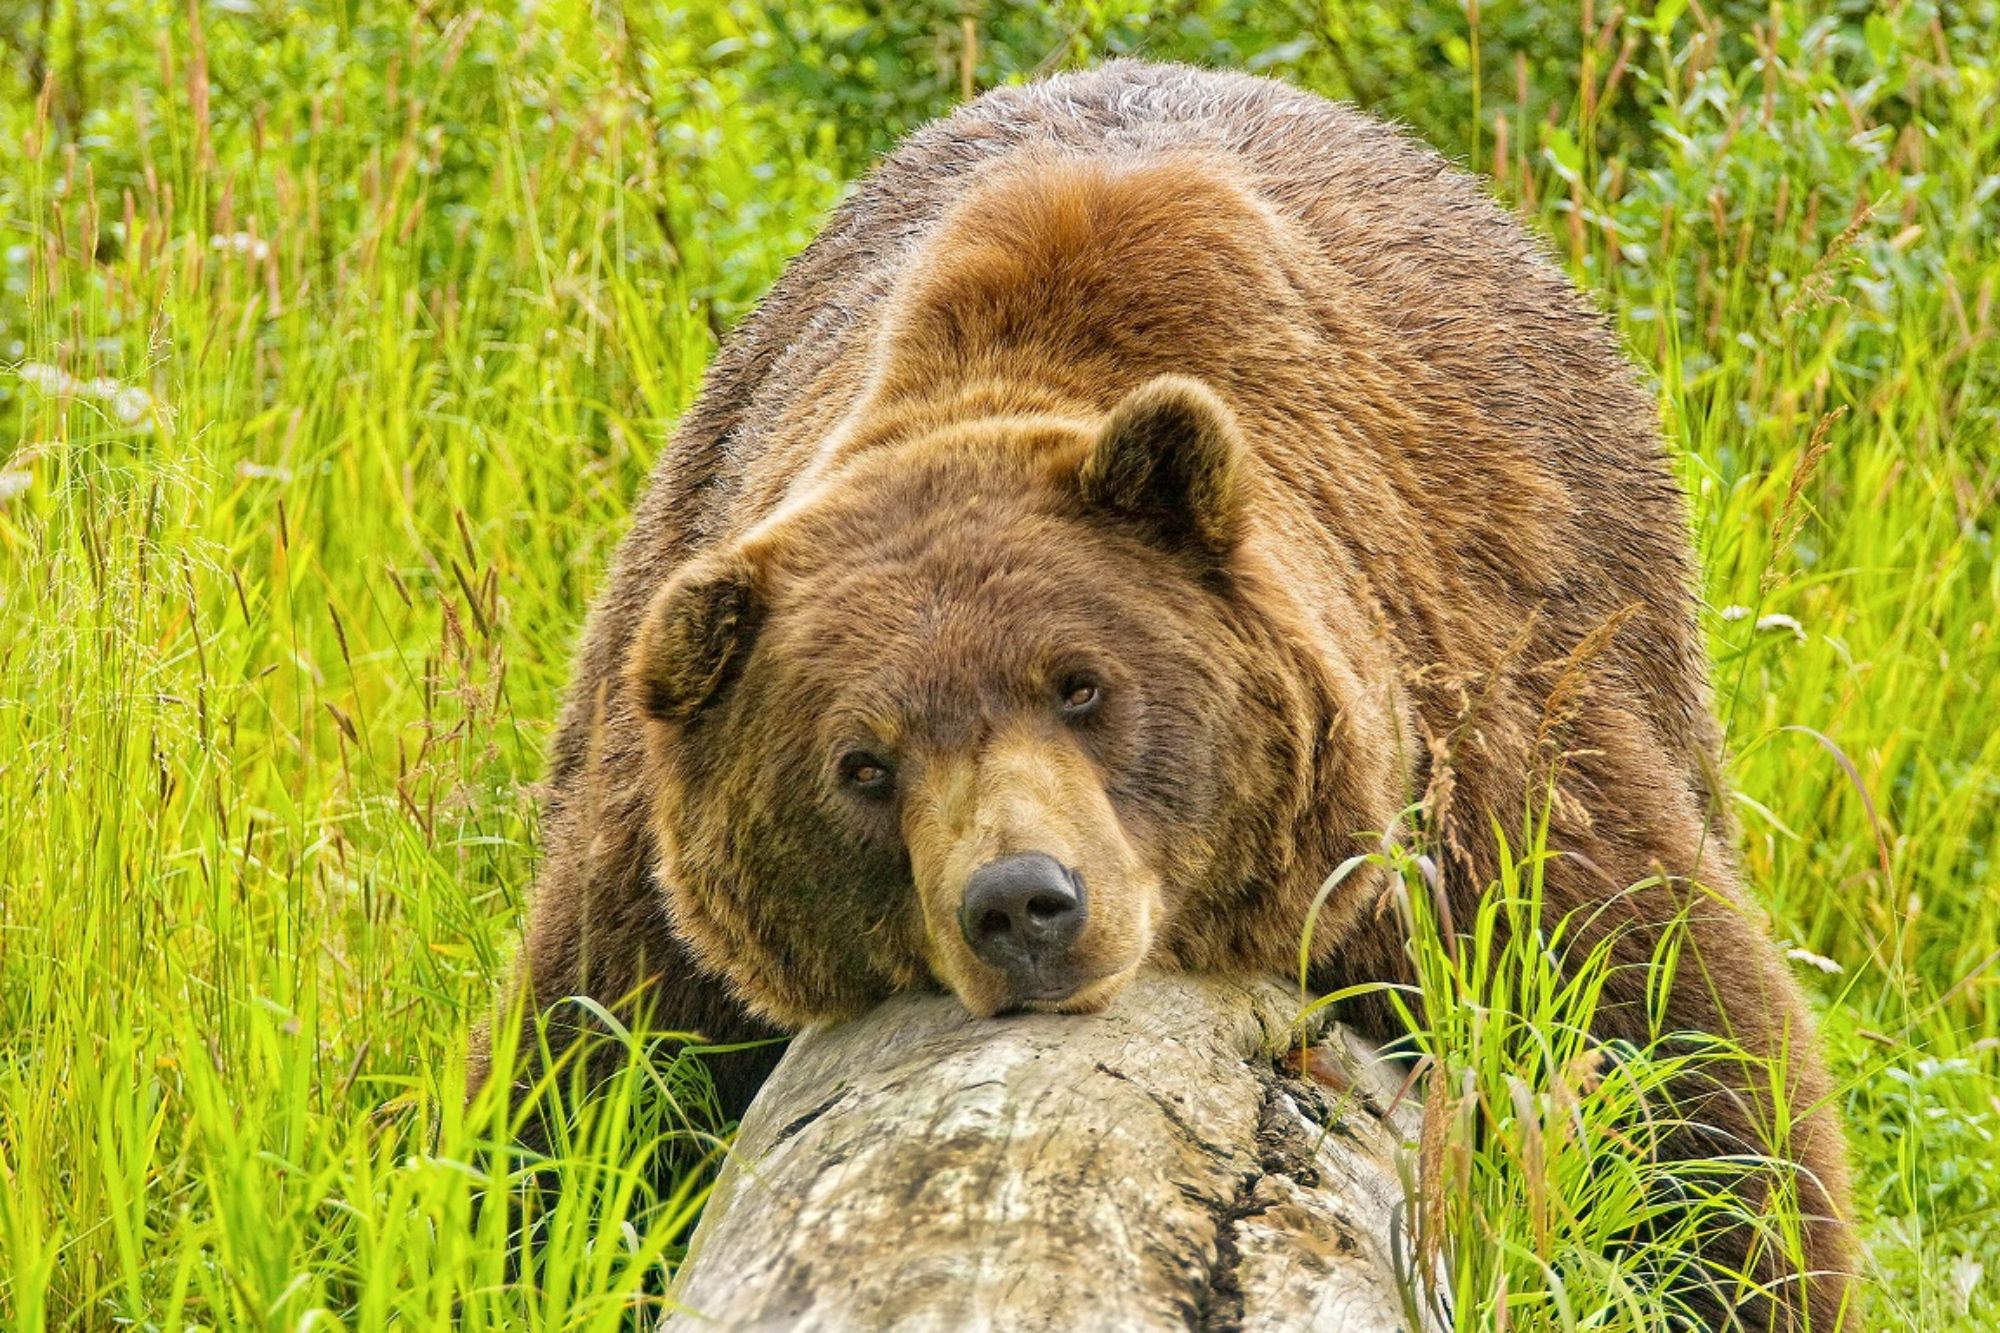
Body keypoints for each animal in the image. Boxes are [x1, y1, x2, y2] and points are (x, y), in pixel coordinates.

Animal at [484, 59, 1856, 1320]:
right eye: (861, 764)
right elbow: (587, 1102)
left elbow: (1688, 1077)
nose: (1023, 903)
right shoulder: (652, 901)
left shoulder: (1485, 773)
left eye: (1081, 687)